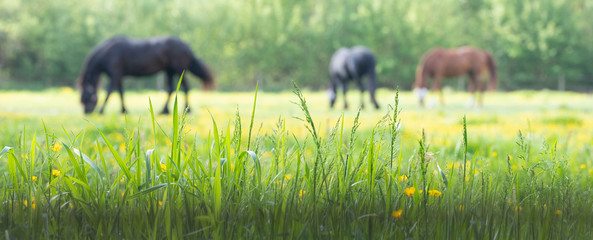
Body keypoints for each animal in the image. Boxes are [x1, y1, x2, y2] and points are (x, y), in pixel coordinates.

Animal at [78, 35, 215, 114]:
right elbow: (121, 93)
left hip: (178, 70)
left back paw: (187, 109)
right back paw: (164, 111)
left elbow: (109, 93)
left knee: (185, 87)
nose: (86, 112)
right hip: (169, 71)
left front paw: (101, 111)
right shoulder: (119, 76)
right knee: (171, 89)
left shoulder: (115, 75)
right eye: (81, 99)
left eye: (87, 97)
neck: (108, 53)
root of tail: (186, 46)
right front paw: (124, 110)